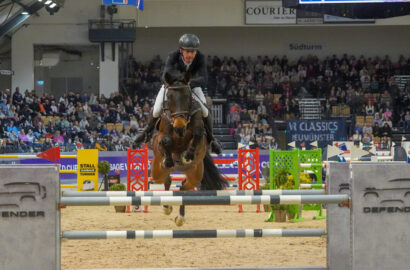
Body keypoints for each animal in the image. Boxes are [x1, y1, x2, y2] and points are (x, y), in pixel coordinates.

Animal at [151, 71, 227, 226]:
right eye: (169, 97)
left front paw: (187, 155)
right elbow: (166, 140)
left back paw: (180, 217)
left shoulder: (200, 136)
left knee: (183, 188)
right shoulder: (161, 138)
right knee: (167, 180)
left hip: (195, 175)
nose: (179, 126)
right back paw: (167, 206)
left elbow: (197, 134)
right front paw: (169, 159)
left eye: (187, 97)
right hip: (157, 172)